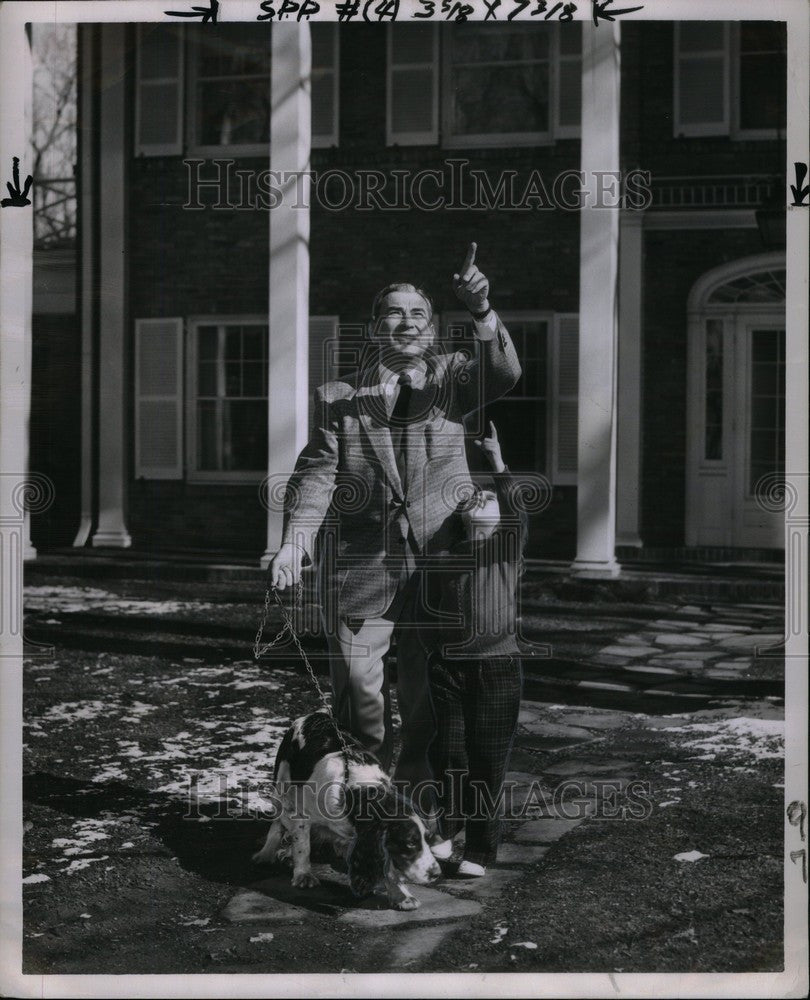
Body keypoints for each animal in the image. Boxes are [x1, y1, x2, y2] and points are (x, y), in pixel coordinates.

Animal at [254, 712, 438, 908]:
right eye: (410, 843)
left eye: (428, 839)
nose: (436, 873)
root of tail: (314, 715)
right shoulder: (301, 813)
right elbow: (302, 845)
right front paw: (303, 875)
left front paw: (401, 896)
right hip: (282, 788)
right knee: (278, 822)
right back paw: (266, 853)